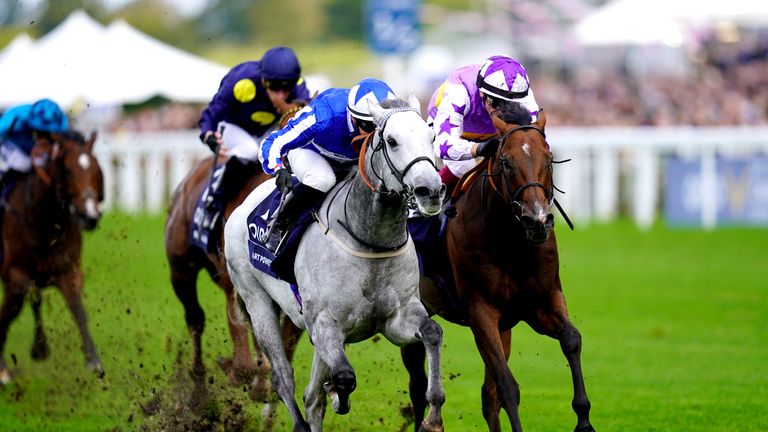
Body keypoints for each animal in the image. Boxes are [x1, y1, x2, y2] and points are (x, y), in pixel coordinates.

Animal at [0, 130, 105, 384]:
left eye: (96, 168)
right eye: (66, 169)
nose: (90, 216)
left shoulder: (68, 269)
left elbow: (78, 308)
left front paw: (93, 360)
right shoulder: (15, 275)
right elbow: (8, 312)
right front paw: (3, 369)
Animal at [222, 98, 448, 432]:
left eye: (431, 137)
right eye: (391, 141)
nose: (430, 191)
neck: (370, 239)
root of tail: (240, 207)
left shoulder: (397, 318)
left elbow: (432, 332)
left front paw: (433, 417)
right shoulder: (325, 322)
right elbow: (344, 376)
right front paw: (338, 395)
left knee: (311, 398)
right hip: (257, 301)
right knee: (283, 377)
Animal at [404, 105, 596, 432]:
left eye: (549, 157)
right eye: (505, 161)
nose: (537, 220)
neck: (511, 244)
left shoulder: (542, 302)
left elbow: (572, 339)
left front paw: (583, 420)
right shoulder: (481, 311)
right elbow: (507, 386)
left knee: (485, 395)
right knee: (418, 386)